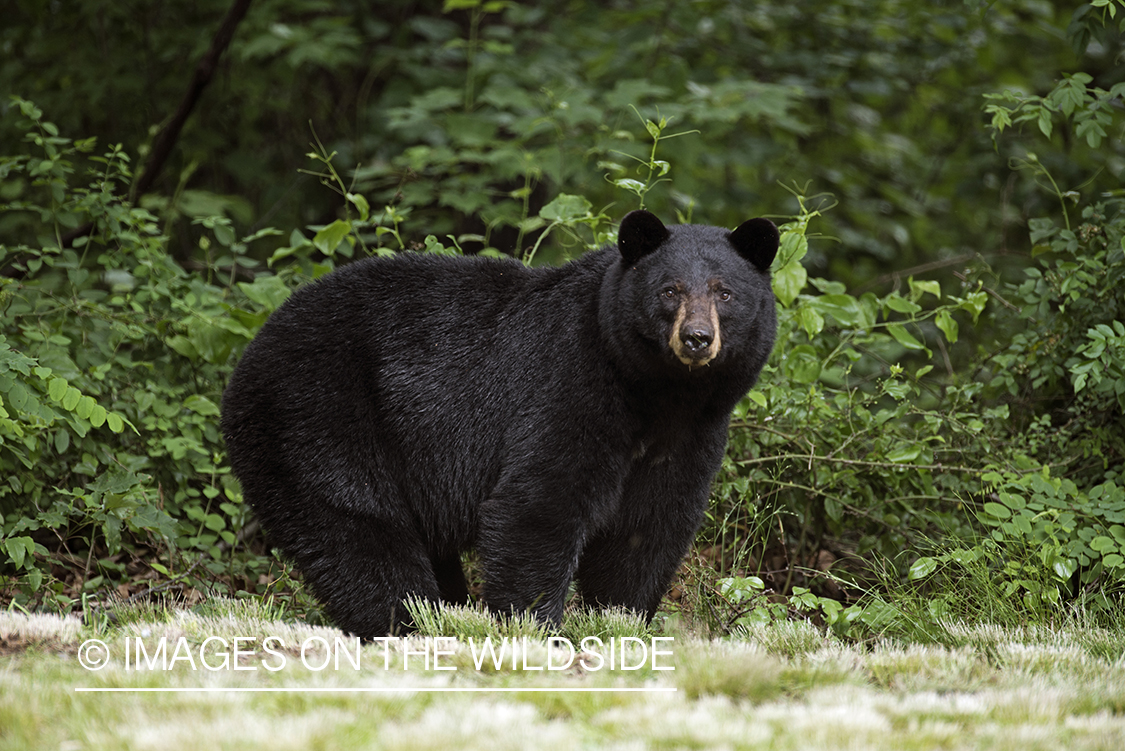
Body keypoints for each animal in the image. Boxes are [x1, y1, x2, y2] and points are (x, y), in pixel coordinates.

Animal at [221, 209, 779, 638]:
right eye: (669, 290)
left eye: (725, 292)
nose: (697, 338)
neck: (658, 393)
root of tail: (248, 356)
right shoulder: (570, 388)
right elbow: (536, 508)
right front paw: (537, 629)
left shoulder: (692, 434)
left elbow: (647, 530)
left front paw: (620, 622)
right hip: (318, 420)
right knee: (358, 533)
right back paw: (412, 625)